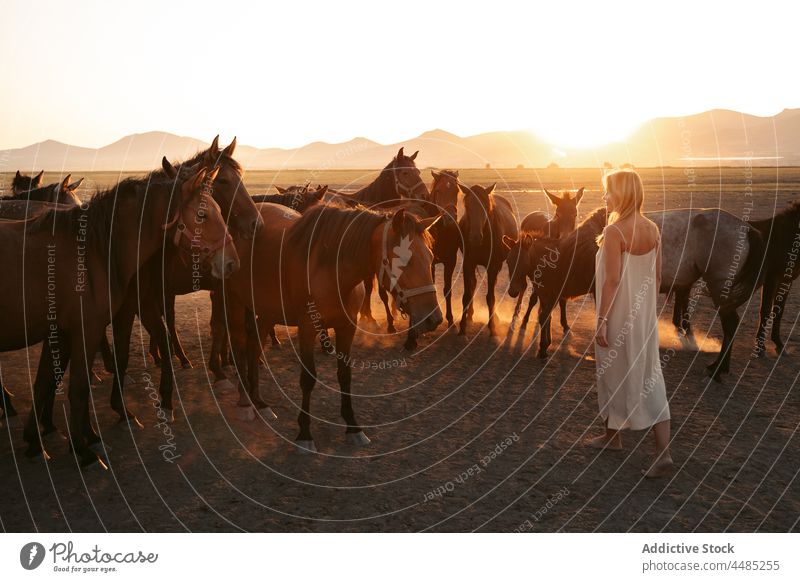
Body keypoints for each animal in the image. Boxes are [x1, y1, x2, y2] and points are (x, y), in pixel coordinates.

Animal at [3, 164, 236, 470]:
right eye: (201, 215)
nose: (232, 262)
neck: (94, 251)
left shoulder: (63, 330)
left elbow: (45, 381)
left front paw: (38, 440)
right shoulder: (89, 327)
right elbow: (79, 387)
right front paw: (84, 449)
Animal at [222, 203, 440, 454]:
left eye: (430, 257)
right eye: (403, 260)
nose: (434, 318)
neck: (332, 270)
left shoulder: (346, 328)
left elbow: (345, 376)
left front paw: (353, 427)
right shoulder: (307, 329)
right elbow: (308, 379)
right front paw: (304, 434)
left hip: (267, 310)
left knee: (254, 345)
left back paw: (259, 403)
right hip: (234, 302)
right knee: (239, 346)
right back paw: (245, 403)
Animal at [456, 182, 520, 338]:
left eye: (485, 206)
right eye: (467, 205)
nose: (475, 237)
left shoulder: (493, 266)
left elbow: (490, 297)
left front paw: (492, 327)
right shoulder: (468, 263)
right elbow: (467, 295)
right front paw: (462, 327)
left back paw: (494, 317)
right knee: (473, 285)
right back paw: (470, 314)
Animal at [748, 201, 800, 356]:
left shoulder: (786, 281)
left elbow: (778, 310)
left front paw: (779, 344)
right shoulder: (771, 279)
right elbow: (765, 309)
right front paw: (760, 347)